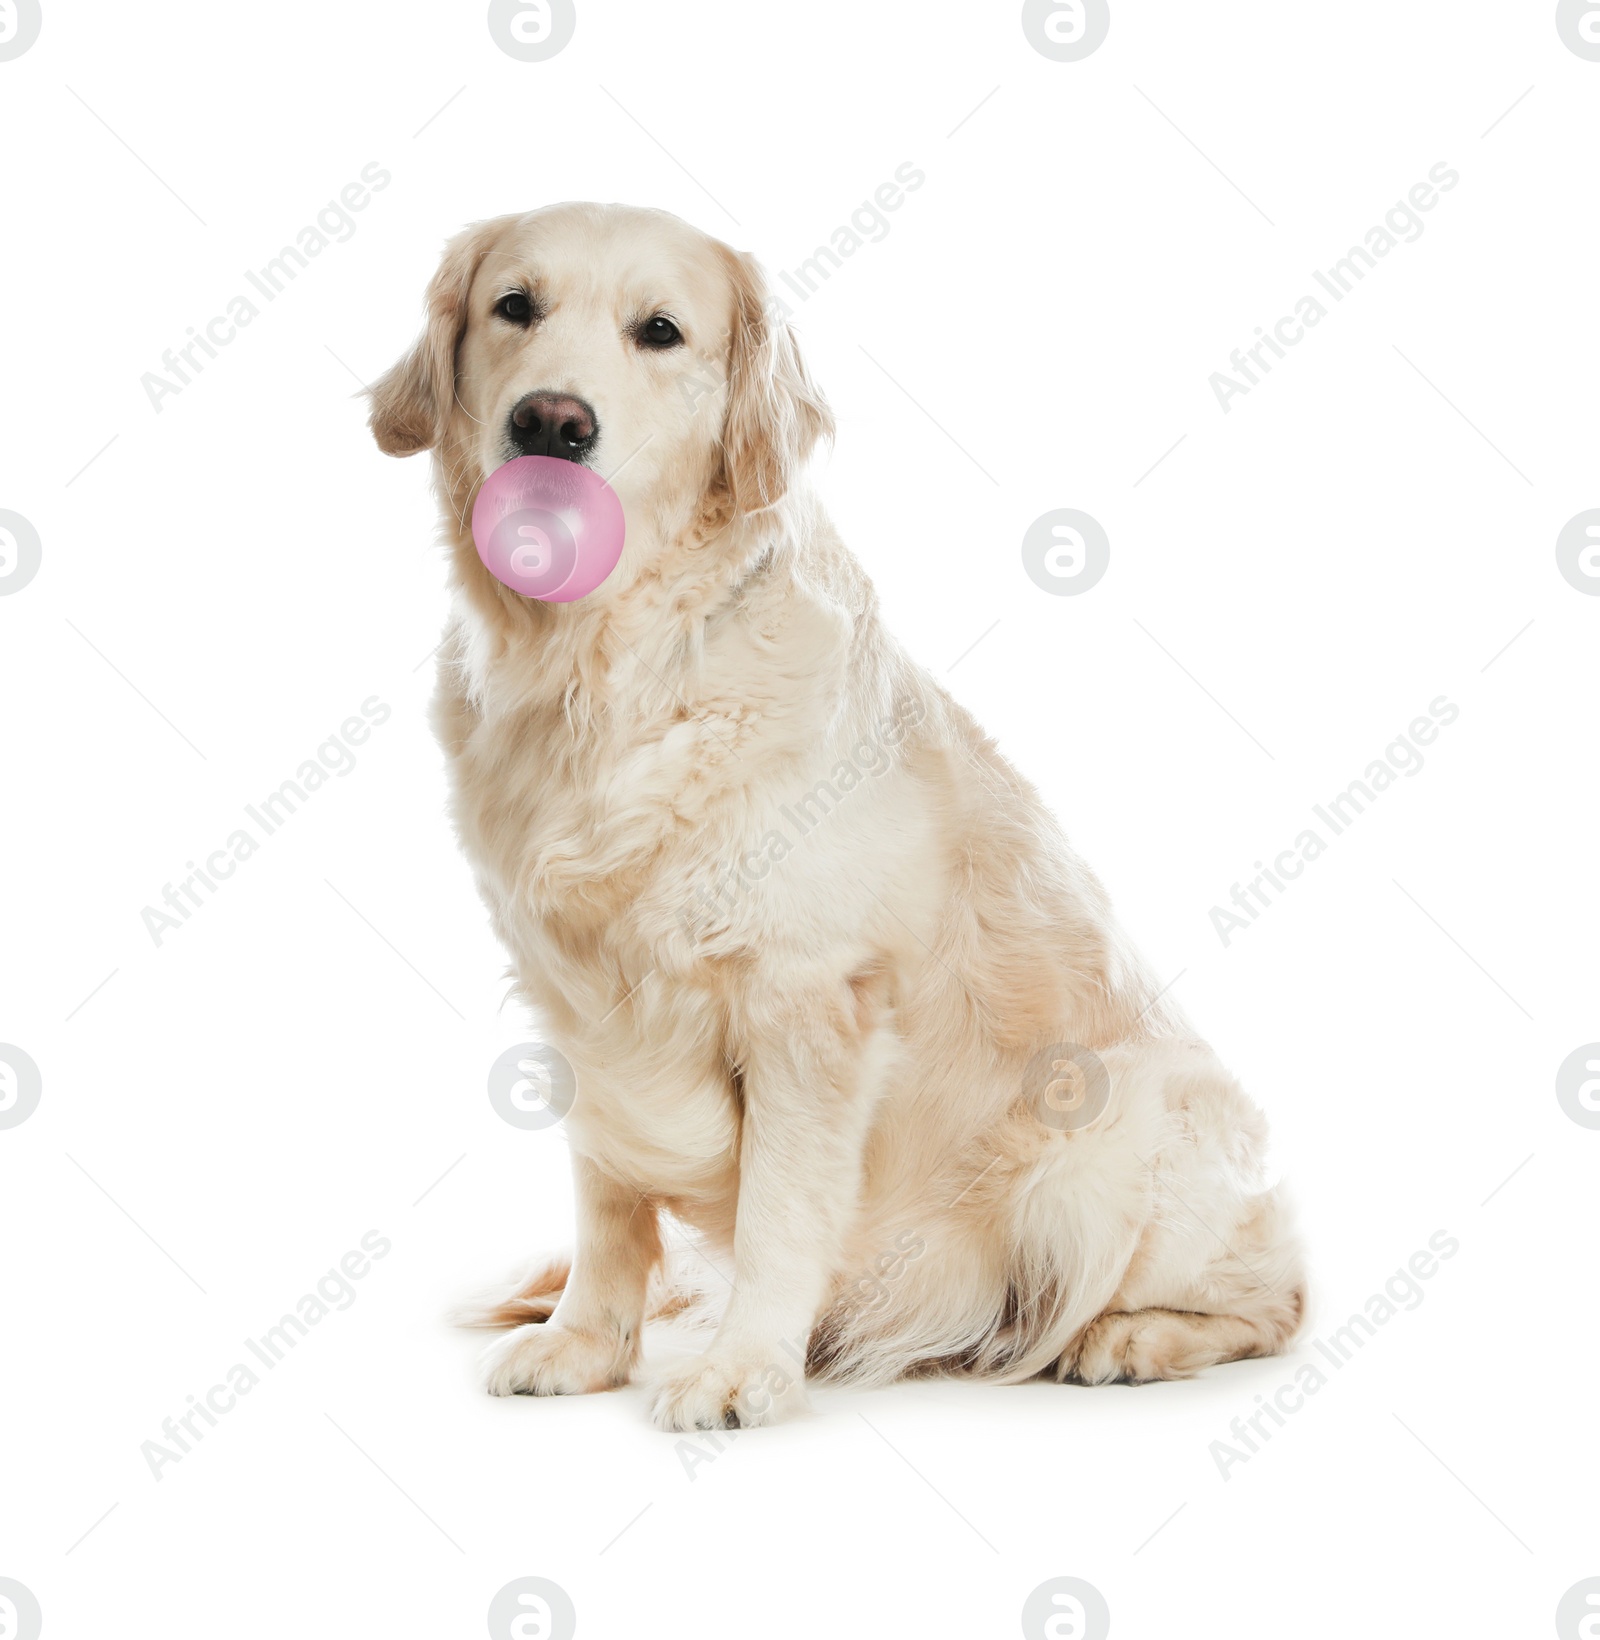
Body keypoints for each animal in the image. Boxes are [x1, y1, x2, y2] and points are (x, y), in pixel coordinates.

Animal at [368, 205, 1304, 1430]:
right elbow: (607, 1202)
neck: (609, 673)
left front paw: (740, 1369)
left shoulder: (806, 1000)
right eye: (513, 307)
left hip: (1109, 1136)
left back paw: (1129, 1337)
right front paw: (585, 1343)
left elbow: (779, 1206)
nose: (551, 424)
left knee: (1274, 1295)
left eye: (660, 331)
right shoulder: (582, 1003)